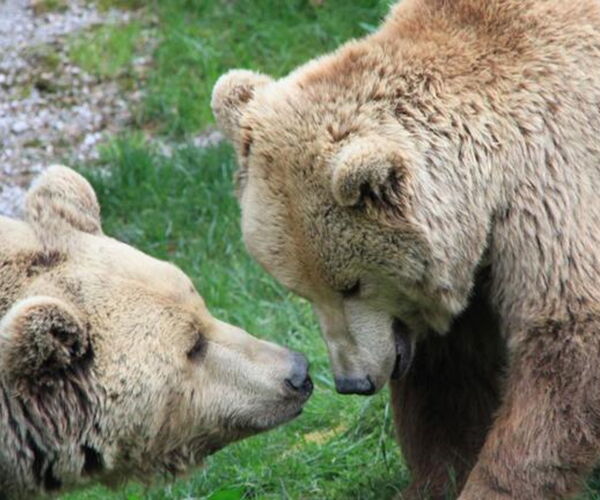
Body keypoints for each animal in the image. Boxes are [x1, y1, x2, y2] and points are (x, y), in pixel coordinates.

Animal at [213, 0, 600, 498]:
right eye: (300, 290)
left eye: (351, 285)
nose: (352, 381)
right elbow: (450, 382)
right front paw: (435, 479)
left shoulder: (552, 179)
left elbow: (564, 335)